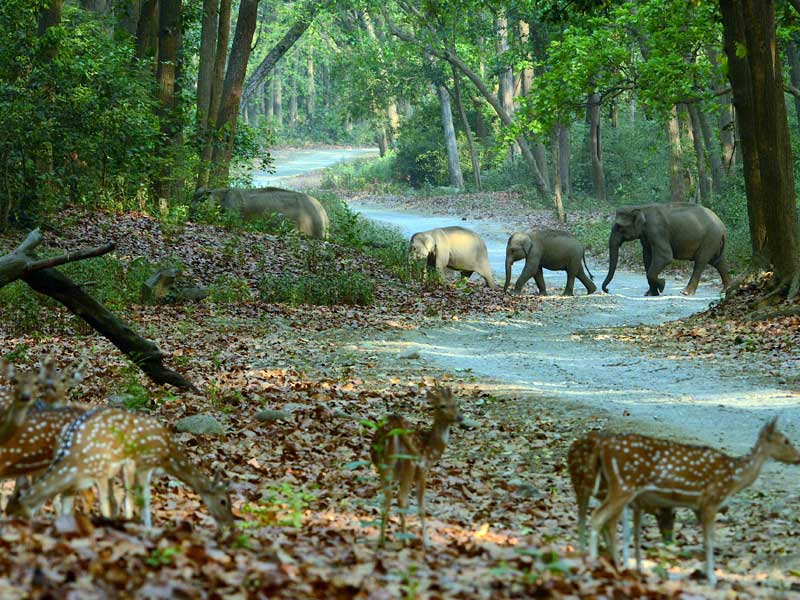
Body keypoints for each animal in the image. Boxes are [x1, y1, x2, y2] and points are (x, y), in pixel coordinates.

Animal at [370, 384, 462, 548]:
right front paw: (426, 541)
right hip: (409, 464)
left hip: (383, 465)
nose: (460, 417)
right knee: (401, 498)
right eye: (442, 405)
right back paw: (405, 540)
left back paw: (382, 541)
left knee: (386, 498)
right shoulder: (423, 469)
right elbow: (421, 506)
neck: (430, 449)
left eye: (456, 403)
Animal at [564, 432, 672, 564]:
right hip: (586, 487)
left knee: (585, 520)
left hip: (583, 487)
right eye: (671, 514)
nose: (669, 539)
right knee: (590, 520)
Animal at [588, 420, 800, 584]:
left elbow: (704, 541)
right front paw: (712, 578)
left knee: (609, 522)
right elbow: (709, 541)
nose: (798, 457)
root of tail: (603, 448)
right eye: (786, 440)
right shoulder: (710, 501)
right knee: (598, 517)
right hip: (623, 486)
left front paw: (704, 574)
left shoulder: (699, 507)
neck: (734, 478)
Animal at [600, 203, 732, 296]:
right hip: (715, 241)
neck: (641, 207)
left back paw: (685, 292)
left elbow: (665, 257)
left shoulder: (656, 230)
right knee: (718, 262)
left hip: (710, 239)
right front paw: (651, 293)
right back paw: (727, 289)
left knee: (700, 261)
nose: (607, 289)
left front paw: (662, 284)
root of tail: (723, 227)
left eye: (619, 226)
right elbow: (647, 257)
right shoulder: (646, 236)